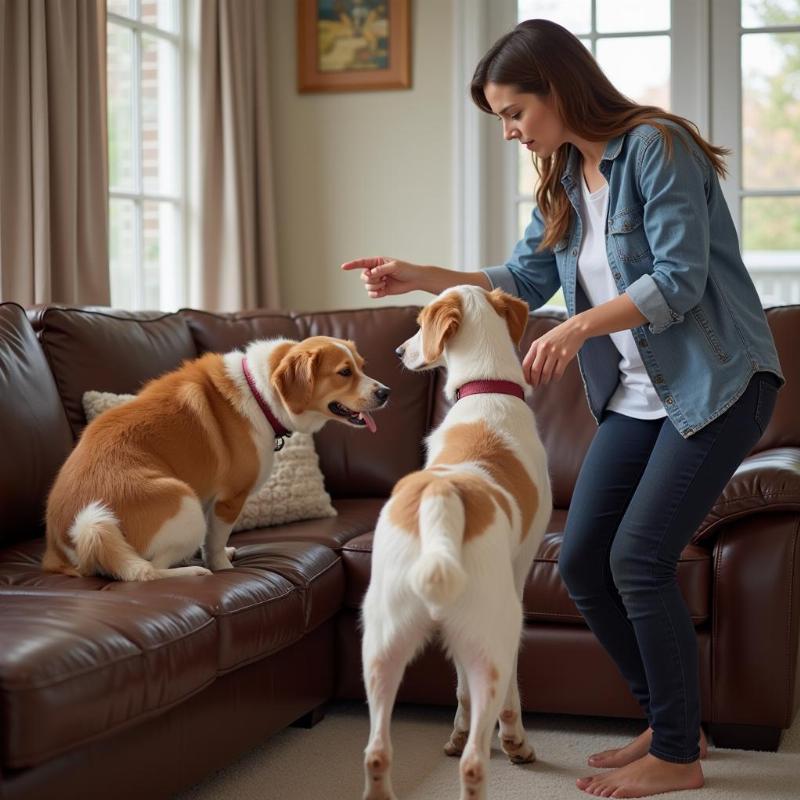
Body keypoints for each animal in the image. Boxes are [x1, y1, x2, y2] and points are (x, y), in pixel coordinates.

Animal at [43, 336, 388, 580]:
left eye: (362, 365)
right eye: (344, 372)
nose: (386, 392)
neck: (260, 393)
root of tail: (68, 540)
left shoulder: (212, 498)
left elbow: (211, 540)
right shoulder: (229, 499)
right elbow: (215, 540)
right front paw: (221, 566)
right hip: (185, 503)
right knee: (147, 570)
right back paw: (192, 571)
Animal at [360, 288, 552, 800]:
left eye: (420, 323)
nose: (397, 352)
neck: (486, 390)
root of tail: (443, 496)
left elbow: (459, 686)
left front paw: (457, 729)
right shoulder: (517, 585)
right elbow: (510, 697)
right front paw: (515, 741)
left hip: (381, 647)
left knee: (377, 752)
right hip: (493, 638)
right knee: (473, 764)